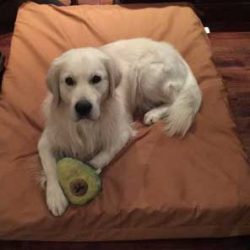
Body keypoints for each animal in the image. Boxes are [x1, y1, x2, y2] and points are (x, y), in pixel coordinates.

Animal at [38, 38, 202, 216]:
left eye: (96, 79)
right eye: (69, 81)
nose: (83, 107)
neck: (85, 126)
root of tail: (176, 54)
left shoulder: (121, 133)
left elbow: (104, 155)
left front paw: (91, 167)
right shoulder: (46, 141)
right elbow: (50, 167)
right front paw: (55, 196)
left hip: (146, 76)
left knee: (174, 100)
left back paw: (153, 113)